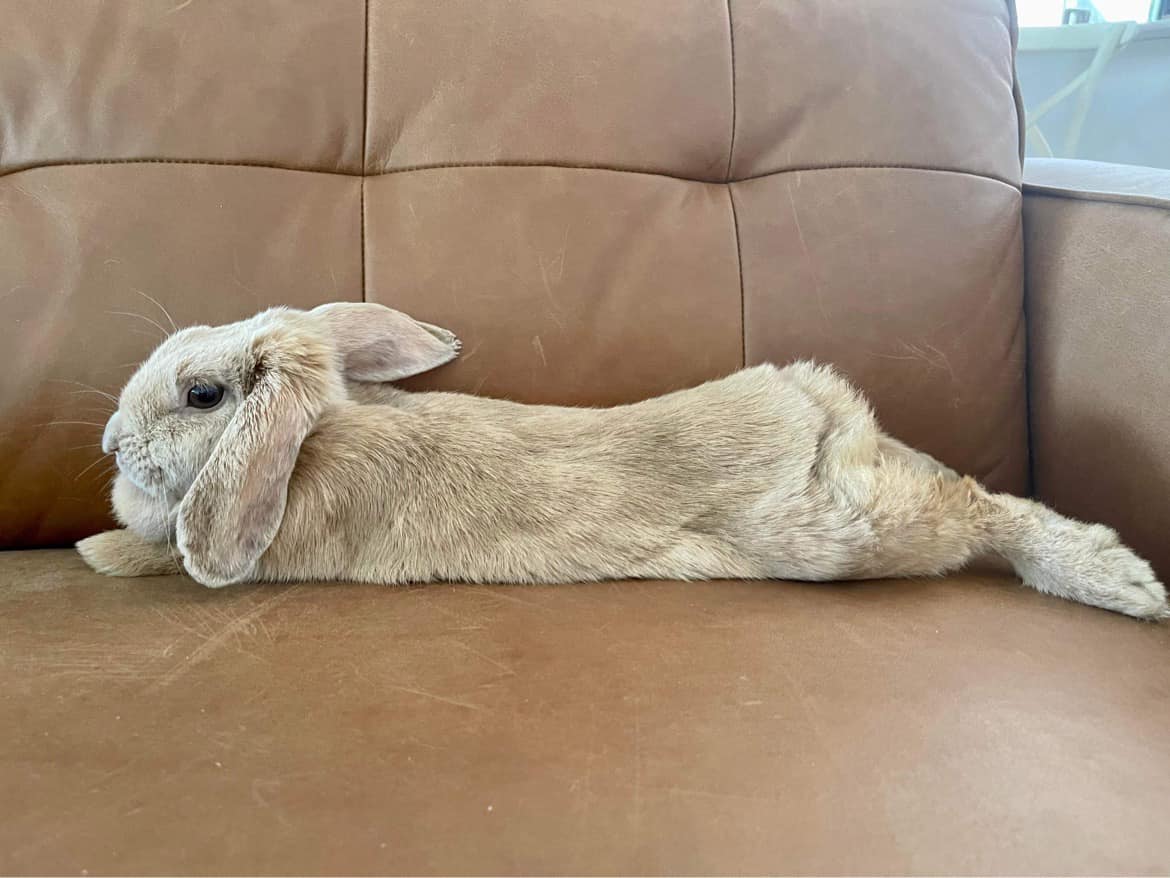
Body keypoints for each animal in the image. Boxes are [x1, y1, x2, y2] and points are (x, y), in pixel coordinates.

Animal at [76, 302, 1168, 620]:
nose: (111, 445)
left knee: (984, 506)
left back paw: (1123, 582)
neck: (308, 440)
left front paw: (100, 548)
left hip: (846, 531)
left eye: (202, 395)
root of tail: (817, 407)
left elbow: (163, 546)